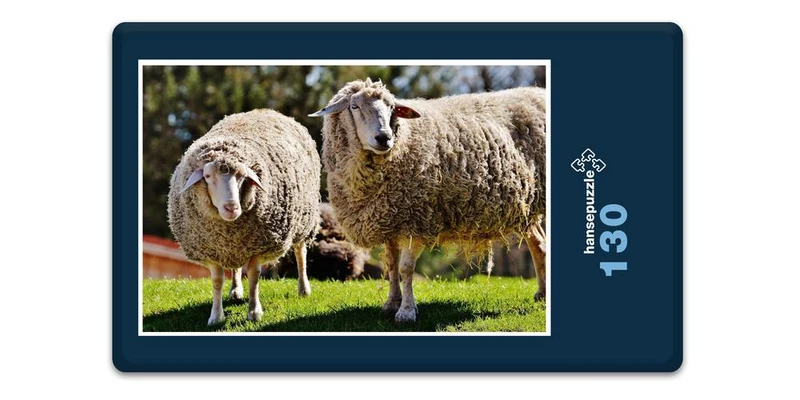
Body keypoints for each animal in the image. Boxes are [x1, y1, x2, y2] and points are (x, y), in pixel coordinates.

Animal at [167, 109, 321, 326]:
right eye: (207, 176)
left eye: (242, 177)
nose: (232, 207)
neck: (228, 230)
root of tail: (266, 110)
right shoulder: (213, 250)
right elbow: (217, 281)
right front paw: (216, 316)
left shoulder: (260, 247)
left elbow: (254, 277)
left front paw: (254, 312)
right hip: (237, 246)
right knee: (236, 268)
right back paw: (236, 290)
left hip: (305, 221)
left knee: (300, 253)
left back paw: (303, 288)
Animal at [310, 78, 547, 323]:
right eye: (354, 106)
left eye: (391, 108)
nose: (384, 137)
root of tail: (538, 92)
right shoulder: (389, 220)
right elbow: (392, 265)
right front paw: (391, 304)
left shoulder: (416, 220)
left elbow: (405, 268)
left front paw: (406, 311)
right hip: (526, 207)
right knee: (539, 244)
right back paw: (541, 294)